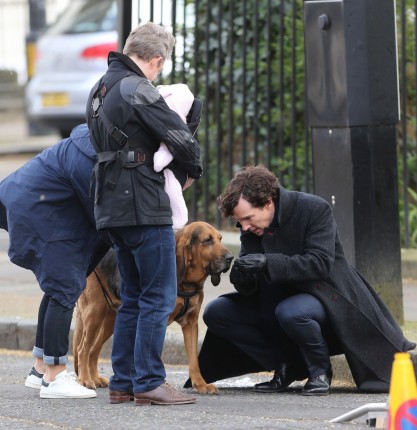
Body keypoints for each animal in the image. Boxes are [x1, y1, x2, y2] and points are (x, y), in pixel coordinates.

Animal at [73, 221, 233, 394]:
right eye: (207, 240)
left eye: (220, 238)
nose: (231, 258)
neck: (187, 283)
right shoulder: (159, 319)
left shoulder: (191, 324)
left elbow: (194, 360)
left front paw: (200, 384)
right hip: (94, 313)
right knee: (83, 349)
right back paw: (86, 379)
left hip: (111, 320)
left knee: (93, 350)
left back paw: (95, 378)